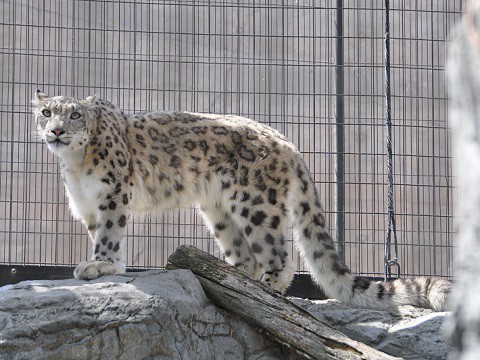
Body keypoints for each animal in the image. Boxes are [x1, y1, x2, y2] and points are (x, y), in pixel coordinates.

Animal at [31, 89, 452, 310]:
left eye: (76, 115)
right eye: (46, 111)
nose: (56, 131)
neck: (75, 166)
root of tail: (286, 141)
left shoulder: (113, 192)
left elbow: (110, 233)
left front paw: (98, 266)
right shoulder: (88, 203)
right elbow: (102, 234)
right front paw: (109, 265)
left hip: (256, 205)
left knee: (278, 255)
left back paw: (266, 289)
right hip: (218, 211)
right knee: (246, 256)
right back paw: (227, 278)